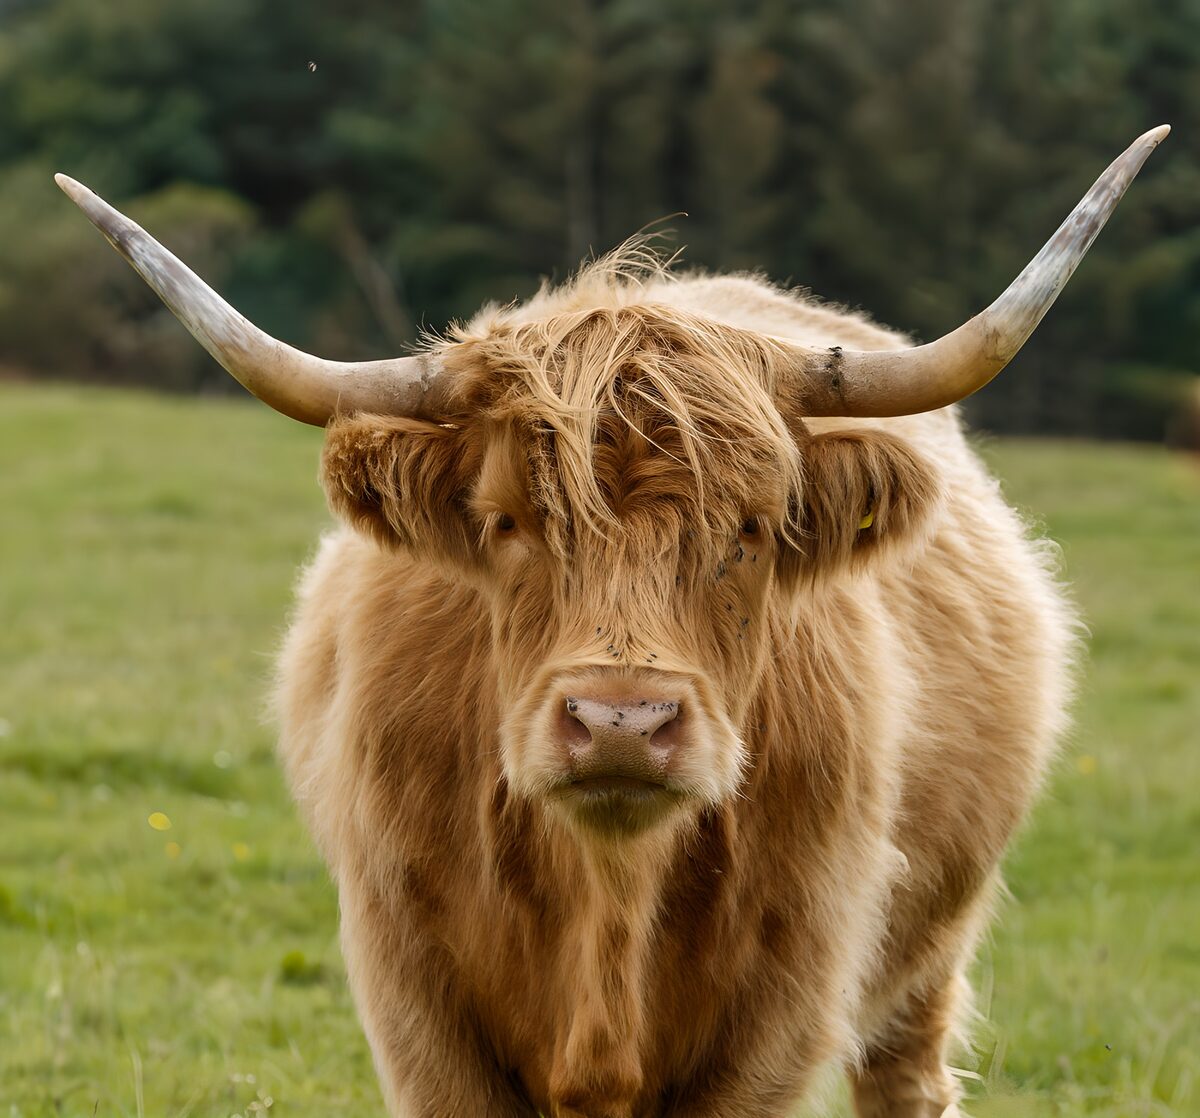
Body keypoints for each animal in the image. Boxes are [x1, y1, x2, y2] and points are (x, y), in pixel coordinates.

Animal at [58, 125, 1167, 1118]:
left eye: (752, 526)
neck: (607, 893)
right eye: (505, 520)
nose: (622, 723)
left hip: (930, 945)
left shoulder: (780, 1007)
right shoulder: (415, 1001)